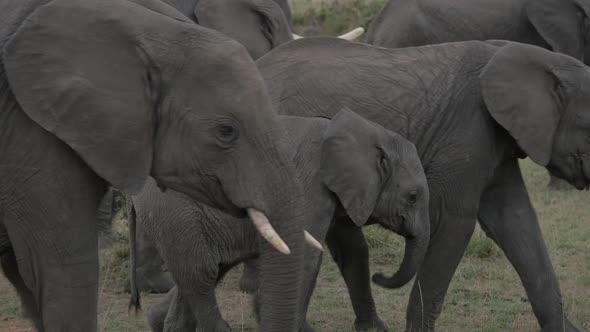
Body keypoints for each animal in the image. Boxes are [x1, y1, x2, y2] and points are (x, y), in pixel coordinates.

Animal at [130, 109, 432, 332]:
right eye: (413, 197)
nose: (380, 276)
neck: (369, 132)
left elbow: (351, 251)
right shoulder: (310, 186)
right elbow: (306, 257)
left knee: (202, 275)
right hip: (176, 216)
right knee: (201, 274)